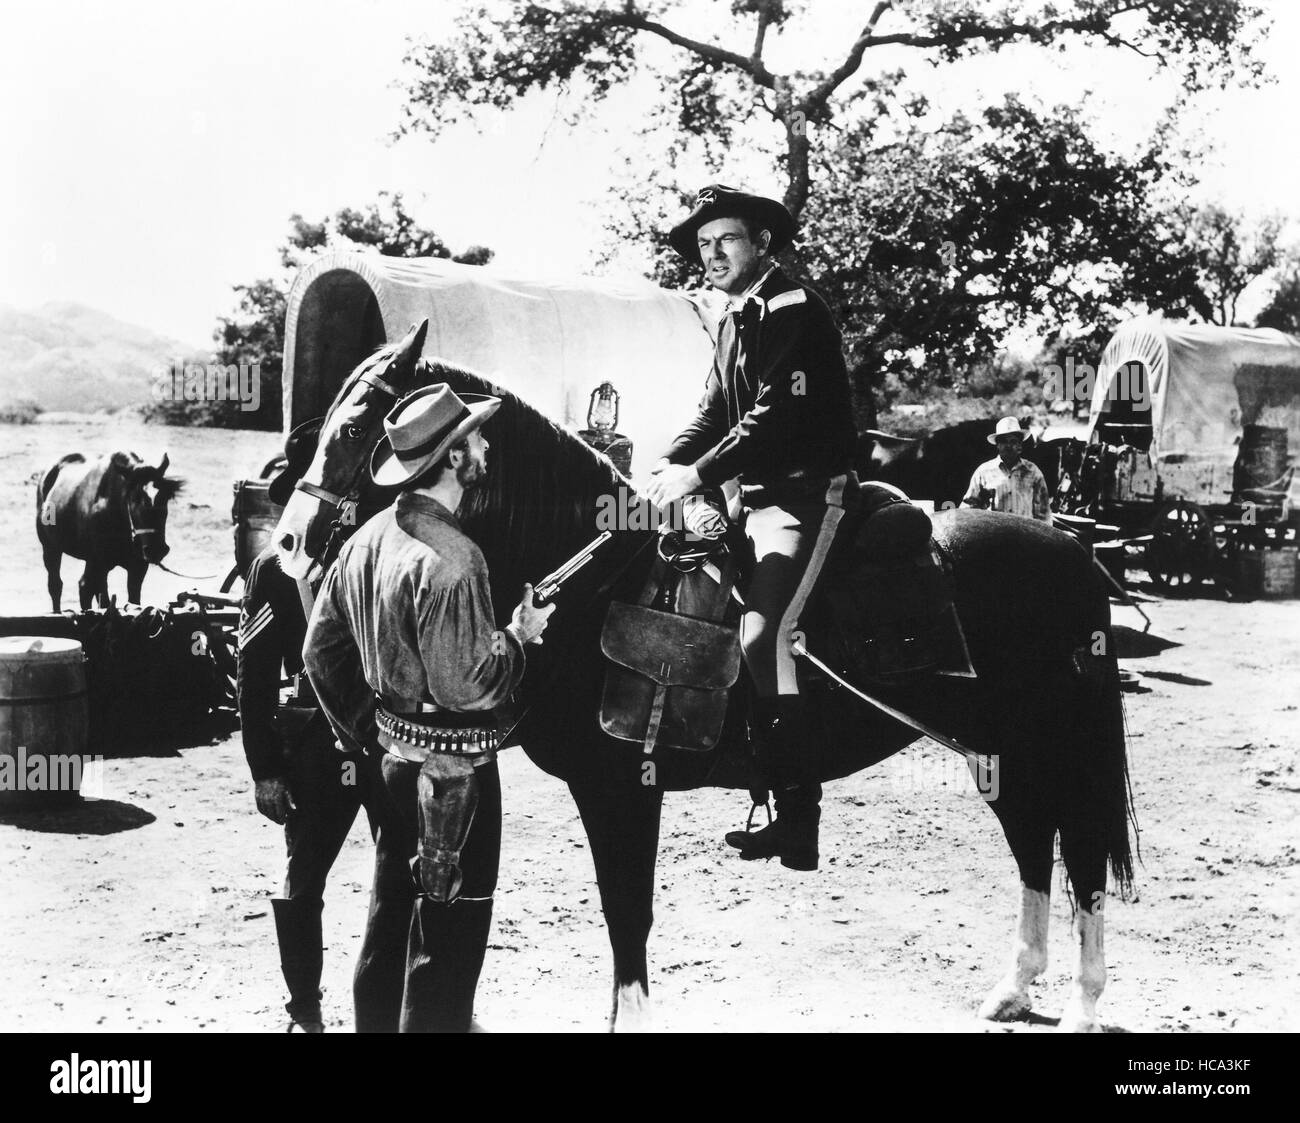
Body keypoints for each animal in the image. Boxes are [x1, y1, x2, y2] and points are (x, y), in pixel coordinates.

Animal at [36, 449, 182, 610]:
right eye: (134, 498)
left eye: (166, 497)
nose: (156, 549)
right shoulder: (99, 564)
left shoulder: (138, 568)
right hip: (51, 548)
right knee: (57, 586)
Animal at [276, 322, 1138, 1024]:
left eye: (356, 423)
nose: (287, 540)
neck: (601, 579)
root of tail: (1073, 554)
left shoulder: (624, 787)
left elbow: (628, 920)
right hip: (997, 751)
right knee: (1035, 847)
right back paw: (1016, 987)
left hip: (1045, 748)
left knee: (1081, 855)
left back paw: (1087, 1002)